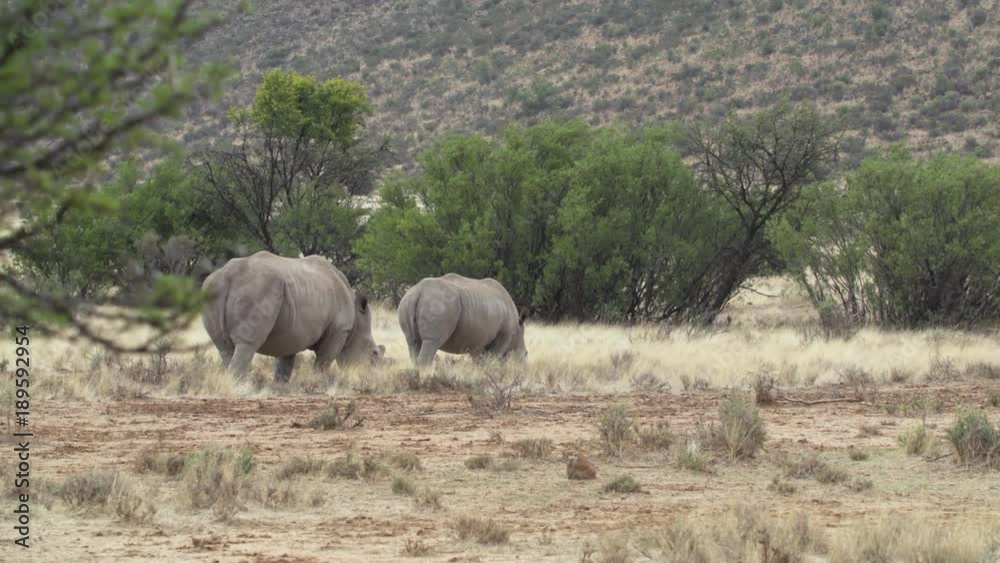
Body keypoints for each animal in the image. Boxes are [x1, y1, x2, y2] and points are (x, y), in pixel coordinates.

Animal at [201, 251, 385, 381]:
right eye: (373, 354)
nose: (373, 378)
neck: (356, 322)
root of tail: (229, 276)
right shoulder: (339, 331)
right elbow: (323, 363)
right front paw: (316, 384)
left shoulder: (292, 334)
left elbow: (285, 364)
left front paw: (280, 387)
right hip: (258, 289)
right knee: (247, 344)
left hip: (211, 289)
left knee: (224, 348)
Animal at [398, 274, 528, 367]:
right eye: (526, 355)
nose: (523, 368)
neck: (517, 329)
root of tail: (418, 291)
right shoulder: (505, 335)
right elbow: (494, 358)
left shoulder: (478, 341)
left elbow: (480, 361)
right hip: (438, 304)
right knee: (431, 342)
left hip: (407, 302)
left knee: (413, 343)